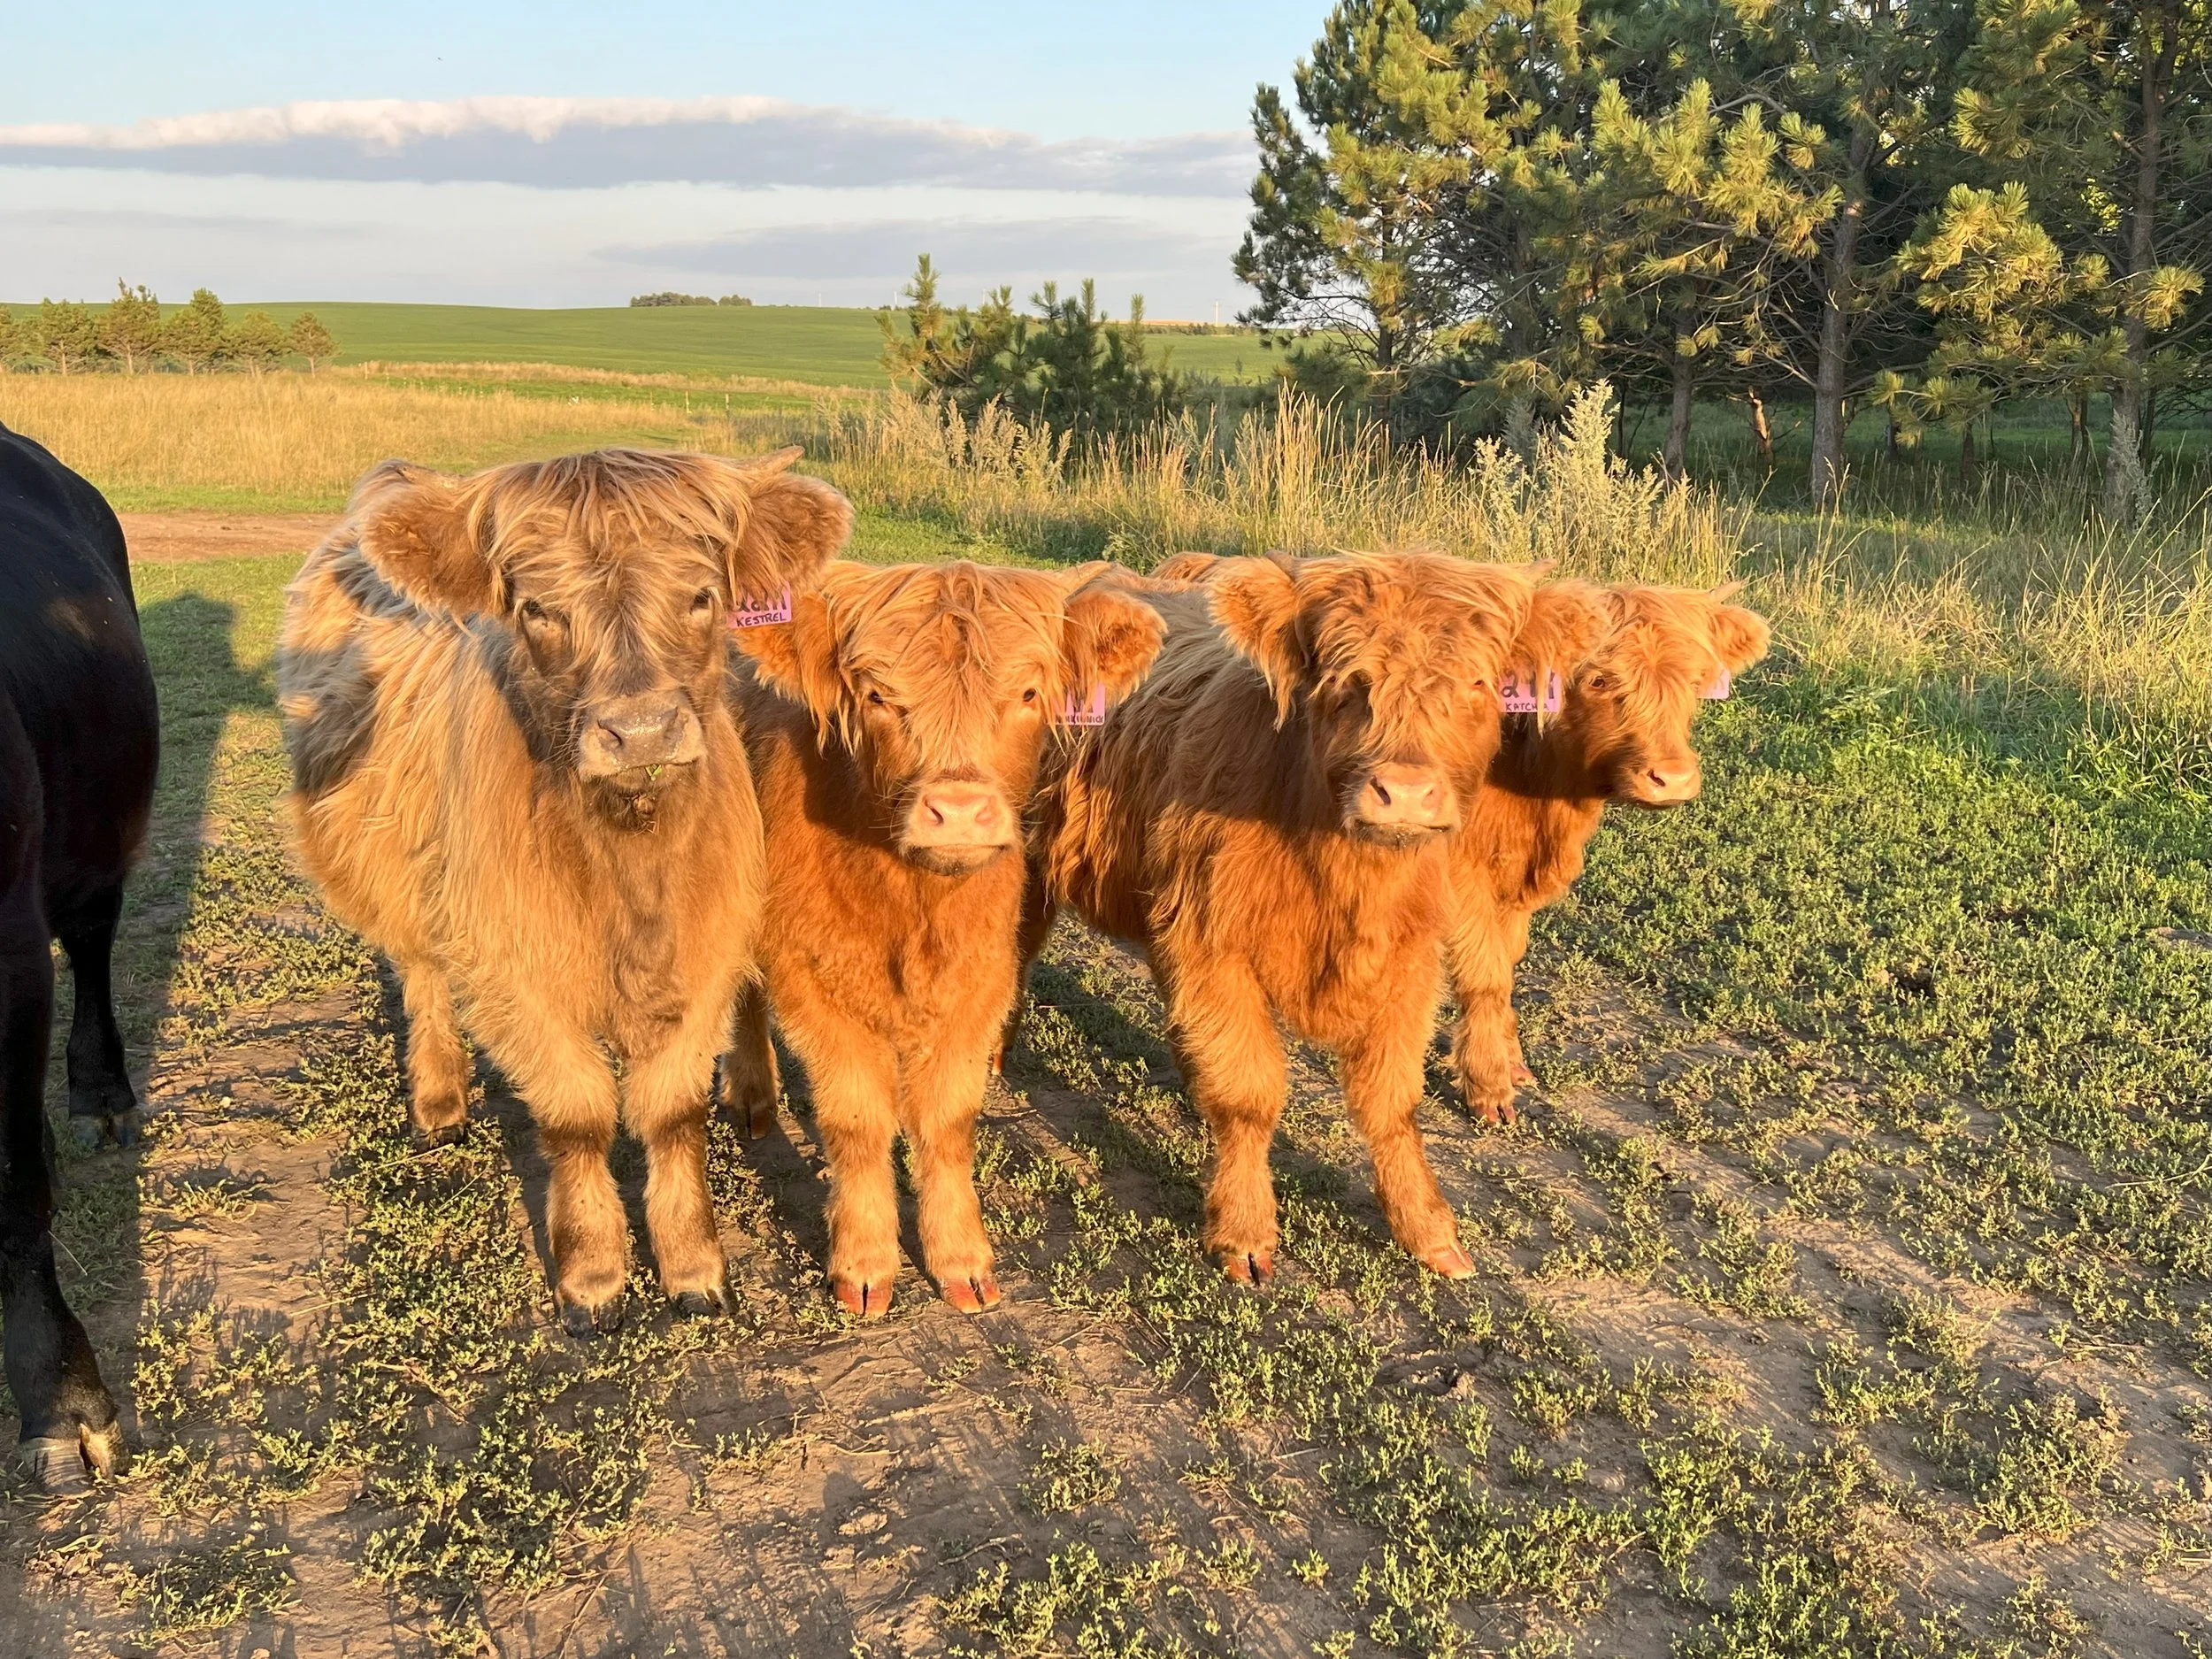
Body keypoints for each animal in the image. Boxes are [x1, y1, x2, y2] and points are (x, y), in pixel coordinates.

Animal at [276, 446, 847, 1337]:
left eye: (702, 595)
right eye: (540, 609)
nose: (640, 732)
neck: (628, 857)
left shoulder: (706, 951)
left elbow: (671, 1113)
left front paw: (694, 1267)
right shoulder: (516, 971)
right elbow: (577, 1117)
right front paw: (592, 1275)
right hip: (403, 882)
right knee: (423, 976)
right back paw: (439, 1099)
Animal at [720, 559, 1163, 1318]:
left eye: (1028, 691)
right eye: (876, 694)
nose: (957, 811)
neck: (917, 907)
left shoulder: (981, 979)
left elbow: (949, 1122)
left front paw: (961, 1259)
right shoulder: (815, 984)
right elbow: (858, 1124)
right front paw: (865, 1264)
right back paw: (753, 1095)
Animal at [1022, 549, 1543, 1284]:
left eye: (1477, 682)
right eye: (1349, 679)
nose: (1405, 792)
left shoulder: (1411, 955)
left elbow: (1393, 1100)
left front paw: (1428, 1228)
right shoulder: (1213, 941)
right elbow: (1250, 1093)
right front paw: (1245, 1233)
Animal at [1443, 580, 1771, 1121]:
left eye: (1694, 681)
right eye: (1598, 680)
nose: (1671, 778)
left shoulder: (1512, 884)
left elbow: (1506, 964)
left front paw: (1513, 1064)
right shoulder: (1462, 876)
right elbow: (1483, 977)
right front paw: (1488, 1087)